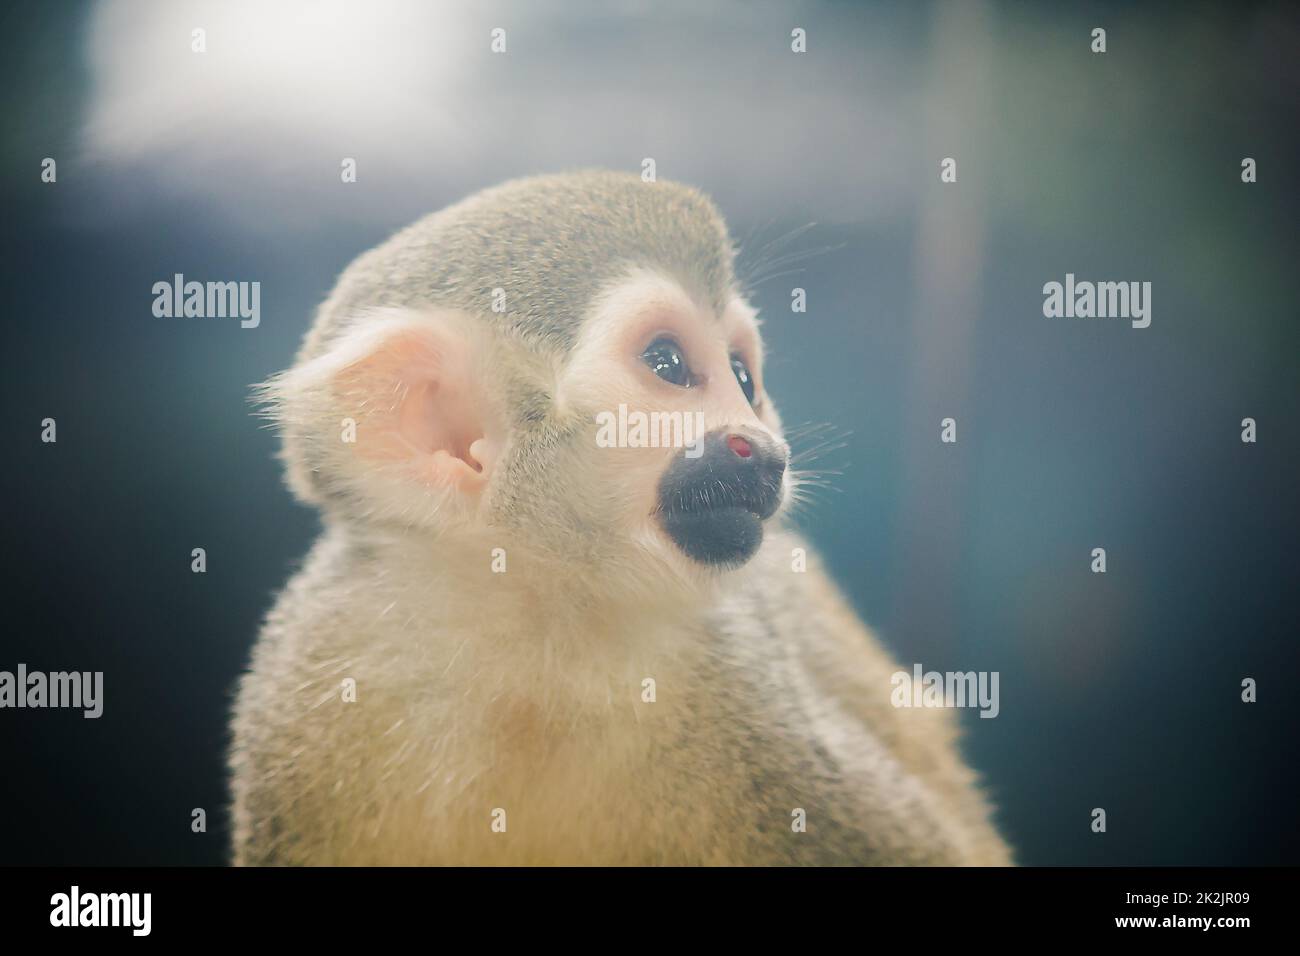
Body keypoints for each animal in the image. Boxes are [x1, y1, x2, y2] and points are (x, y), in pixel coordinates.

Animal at [228, 167, 1008, 863]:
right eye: (667, 363)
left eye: (744, 378)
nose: (764, 452)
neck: (541, 632)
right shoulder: (313, 685)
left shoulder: (751, 693)